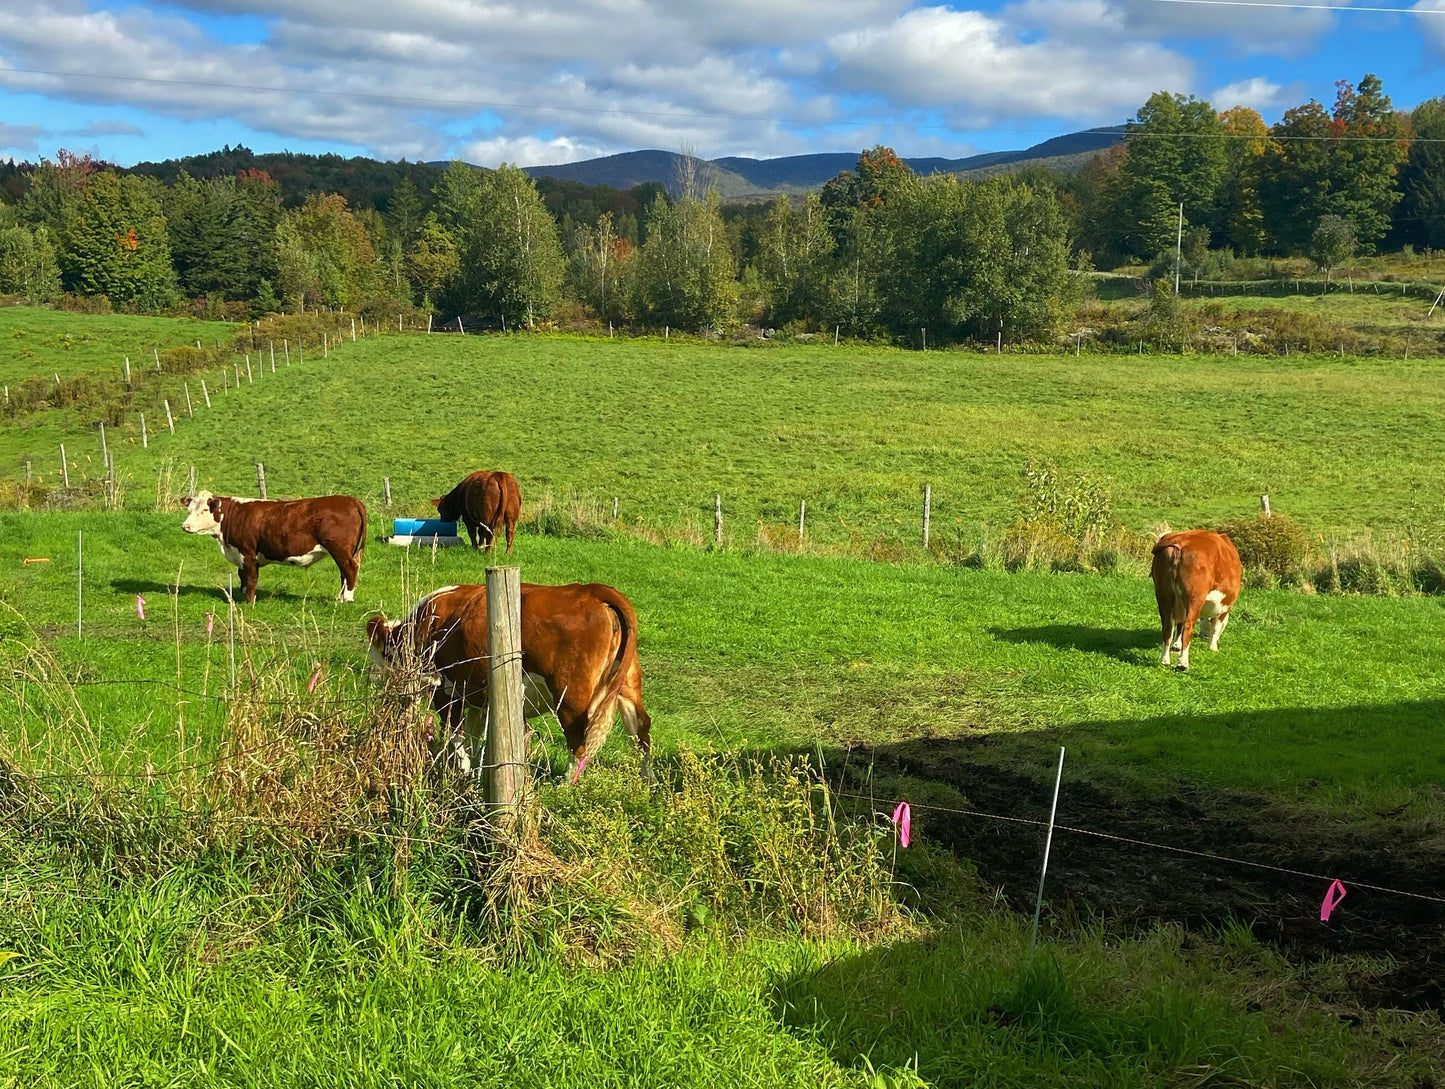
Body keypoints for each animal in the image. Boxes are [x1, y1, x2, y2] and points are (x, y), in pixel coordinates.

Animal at [180, 490, 367, 604]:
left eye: (205, 510)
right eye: (189, 509)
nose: (185, 526)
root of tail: (350, 499)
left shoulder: (248, 553)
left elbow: (251, 578)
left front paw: (249, 601)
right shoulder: (241, 555)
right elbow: (243, 576)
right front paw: (243, 595)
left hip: (340, 550)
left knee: (351, 570)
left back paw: (347, 599)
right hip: (345, 552)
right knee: (344, 573)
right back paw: (340, 598)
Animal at [366, 582, 651, 782]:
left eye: (383, 655)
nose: (379, 685)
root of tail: (590, 590)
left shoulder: (447, 691)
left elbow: (455, 734)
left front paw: (464, 773)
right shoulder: (477, 696)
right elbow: (474, 738)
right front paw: (475, 774)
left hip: (570, 695)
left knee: (578, 739)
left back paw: (563, 786)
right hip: (627, 684)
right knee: (641, 728)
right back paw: (647, 781)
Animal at [1151, 529, 1242, 671]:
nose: (1204, 636)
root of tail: (1179, 541)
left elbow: (1180, 624)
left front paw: (1176, 646)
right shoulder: (1225, 606)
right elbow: (1216, 625)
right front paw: (1213, 647)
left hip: (1163, 594)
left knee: (1167, 627)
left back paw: (1164, 660)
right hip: (1195, 597)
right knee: (1188, 627)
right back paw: (1183, 663)